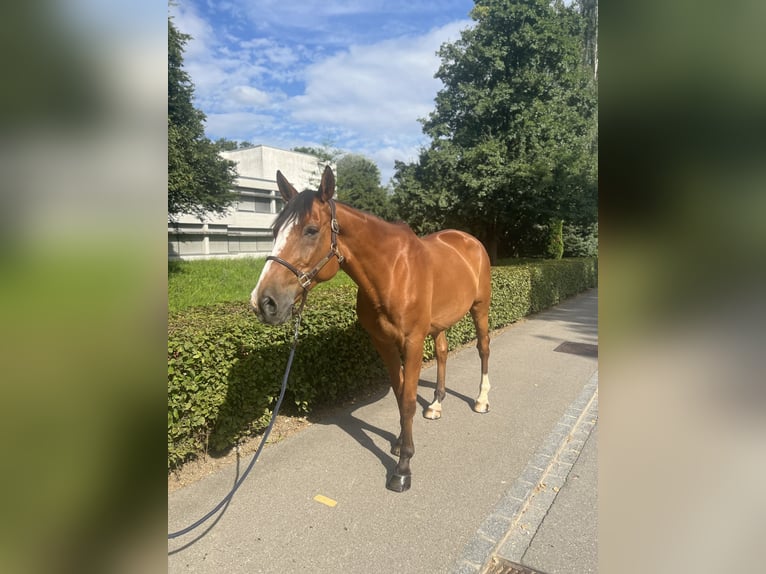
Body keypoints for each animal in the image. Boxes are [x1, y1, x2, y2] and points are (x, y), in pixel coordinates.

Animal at [252, 166, 492, 496]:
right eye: (275, 231)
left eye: (311, 230)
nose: (264, 302)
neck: (392, 271)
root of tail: (470, 240)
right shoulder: (383, 343)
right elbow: (400, 393)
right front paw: (401, 443)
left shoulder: (412, 342)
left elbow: (408, 400)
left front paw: (403, 467)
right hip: (439, 323)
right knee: (443, 352)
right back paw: (436, 405)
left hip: (480, 309)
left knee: (483, 349)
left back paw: (481, 400)